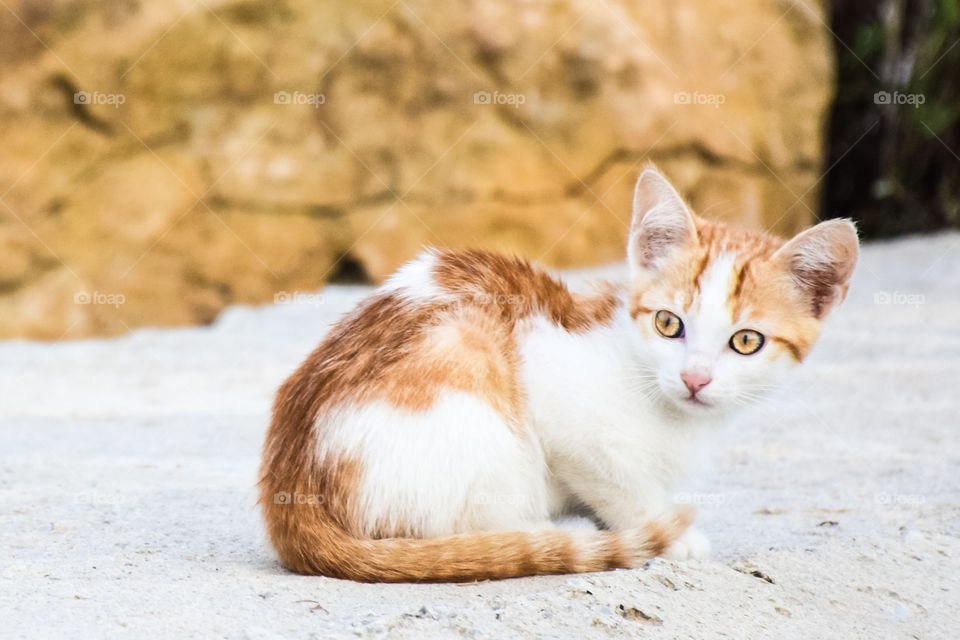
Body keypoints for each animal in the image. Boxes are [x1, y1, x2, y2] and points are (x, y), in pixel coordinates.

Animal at [258, 168, 860, 584]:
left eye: (746, 341)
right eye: (668, 323)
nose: (695, 379)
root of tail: (289, 494)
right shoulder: (556, 385)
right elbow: (615, 479)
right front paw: (661, 532)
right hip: (472, 387)